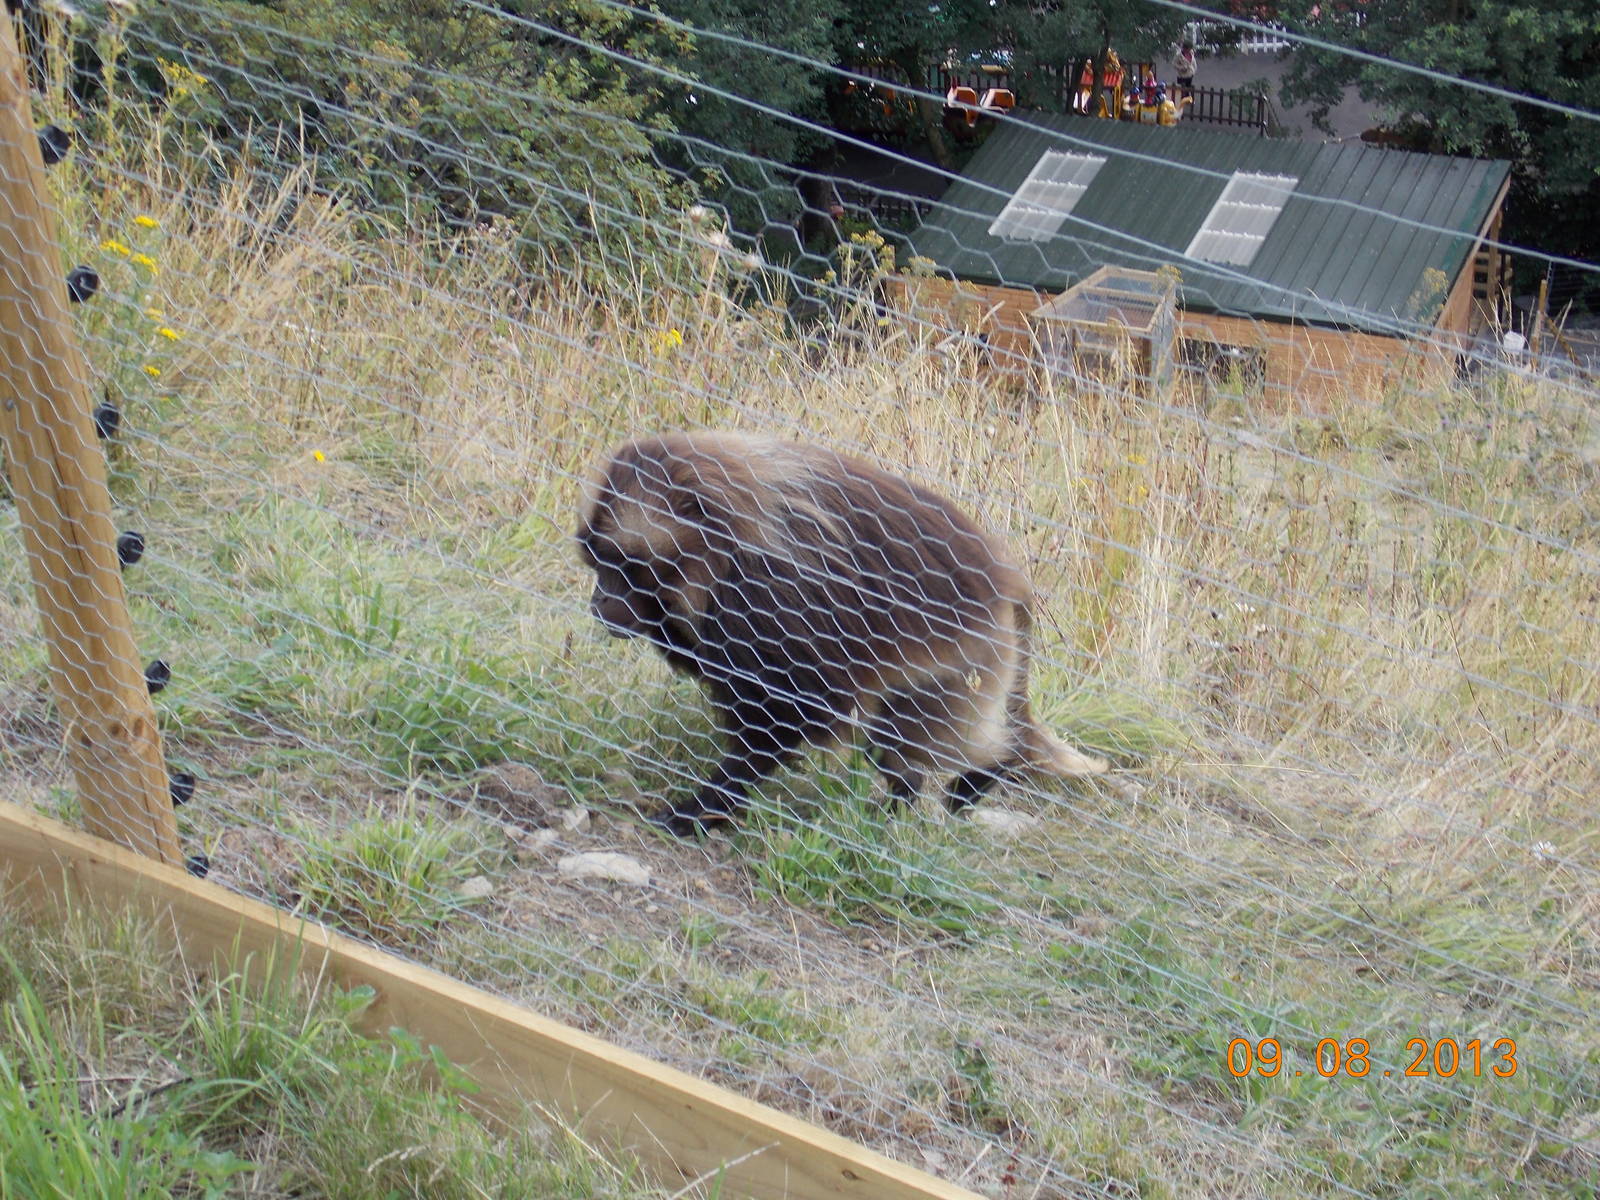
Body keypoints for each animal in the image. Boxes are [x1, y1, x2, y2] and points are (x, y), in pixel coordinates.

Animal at [575, 431, 1108, 837]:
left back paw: (974, 777)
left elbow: (784, 716)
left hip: (963, 650)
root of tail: (1006, 580)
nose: (598, 603)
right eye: (600, 562)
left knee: (922, 729)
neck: (719, 545)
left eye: (626, 566)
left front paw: (704, 808)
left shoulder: (770, 598)